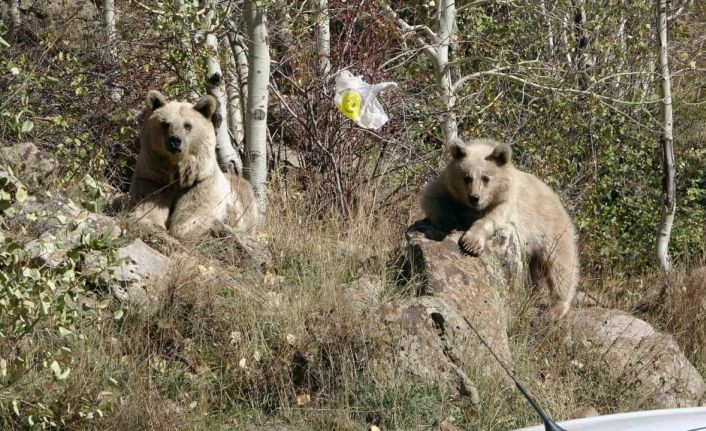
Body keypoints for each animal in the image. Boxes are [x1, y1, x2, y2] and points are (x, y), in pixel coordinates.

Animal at [128, 90, 258, 241]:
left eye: (187, 125)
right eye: (165, 124)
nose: (175, 141)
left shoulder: (201, 183)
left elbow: (193, 214)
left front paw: (182, 228)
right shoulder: (152, 178)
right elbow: (147, 204)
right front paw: (150, 222)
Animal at [420, 138, 576, 320]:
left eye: (486, 178)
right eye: (467, 177)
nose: (474, 197)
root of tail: (558, 200)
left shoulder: (507, 200)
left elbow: (492, 218)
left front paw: (470, 243)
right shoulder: (447, 186)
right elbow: (431, 197)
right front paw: (446, 220)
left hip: (552, 230)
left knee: (560, 265)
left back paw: (556, 308)